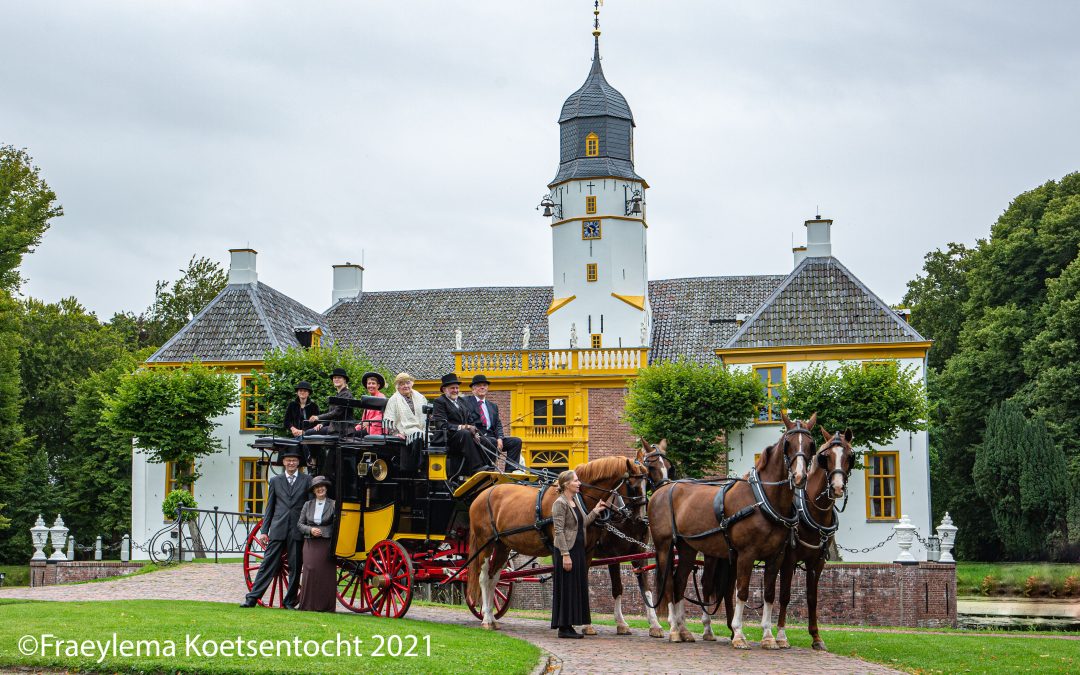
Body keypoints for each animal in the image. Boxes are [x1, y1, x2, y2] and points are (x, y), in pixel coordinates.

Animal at [466, 449, 648, 630]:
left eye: (648, 483)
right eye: (633, 486)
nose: (641, 517)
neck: (579, 500)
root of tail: (482, 495)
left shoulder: (588, 550)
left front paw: (586, 625)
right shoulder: (562, 548)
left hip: (502, 545)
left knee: (494, 579)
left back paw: (491, 617)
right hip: (485, 544)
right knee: (484, 577)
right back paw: (486, 619)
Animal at [643, 410, 812, 648]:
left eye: (811, 445)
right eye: (788, 444)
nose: (799, 477)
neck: (763, 499)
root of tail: (662, 489)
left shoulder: (776, 556)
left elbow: (769, 594)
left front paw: (768, 636)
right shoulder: (746, 554)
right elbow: (741, 591)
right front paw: (739, 634)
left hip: (687, 547)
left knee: (679, 582)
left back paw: (684, 631)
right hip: (664, 546)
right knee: (668, 583)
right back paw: (674, 630)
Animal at [764, 425, 855, 648]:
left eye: (850, 456)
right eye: (825, 457)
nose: (837, 487)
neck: (814, 511)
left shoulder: (817, 562)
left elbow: (812, 597)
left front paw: (816, 637)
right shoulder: (789, 559)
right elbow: (785, 595)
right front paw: (781, 636)